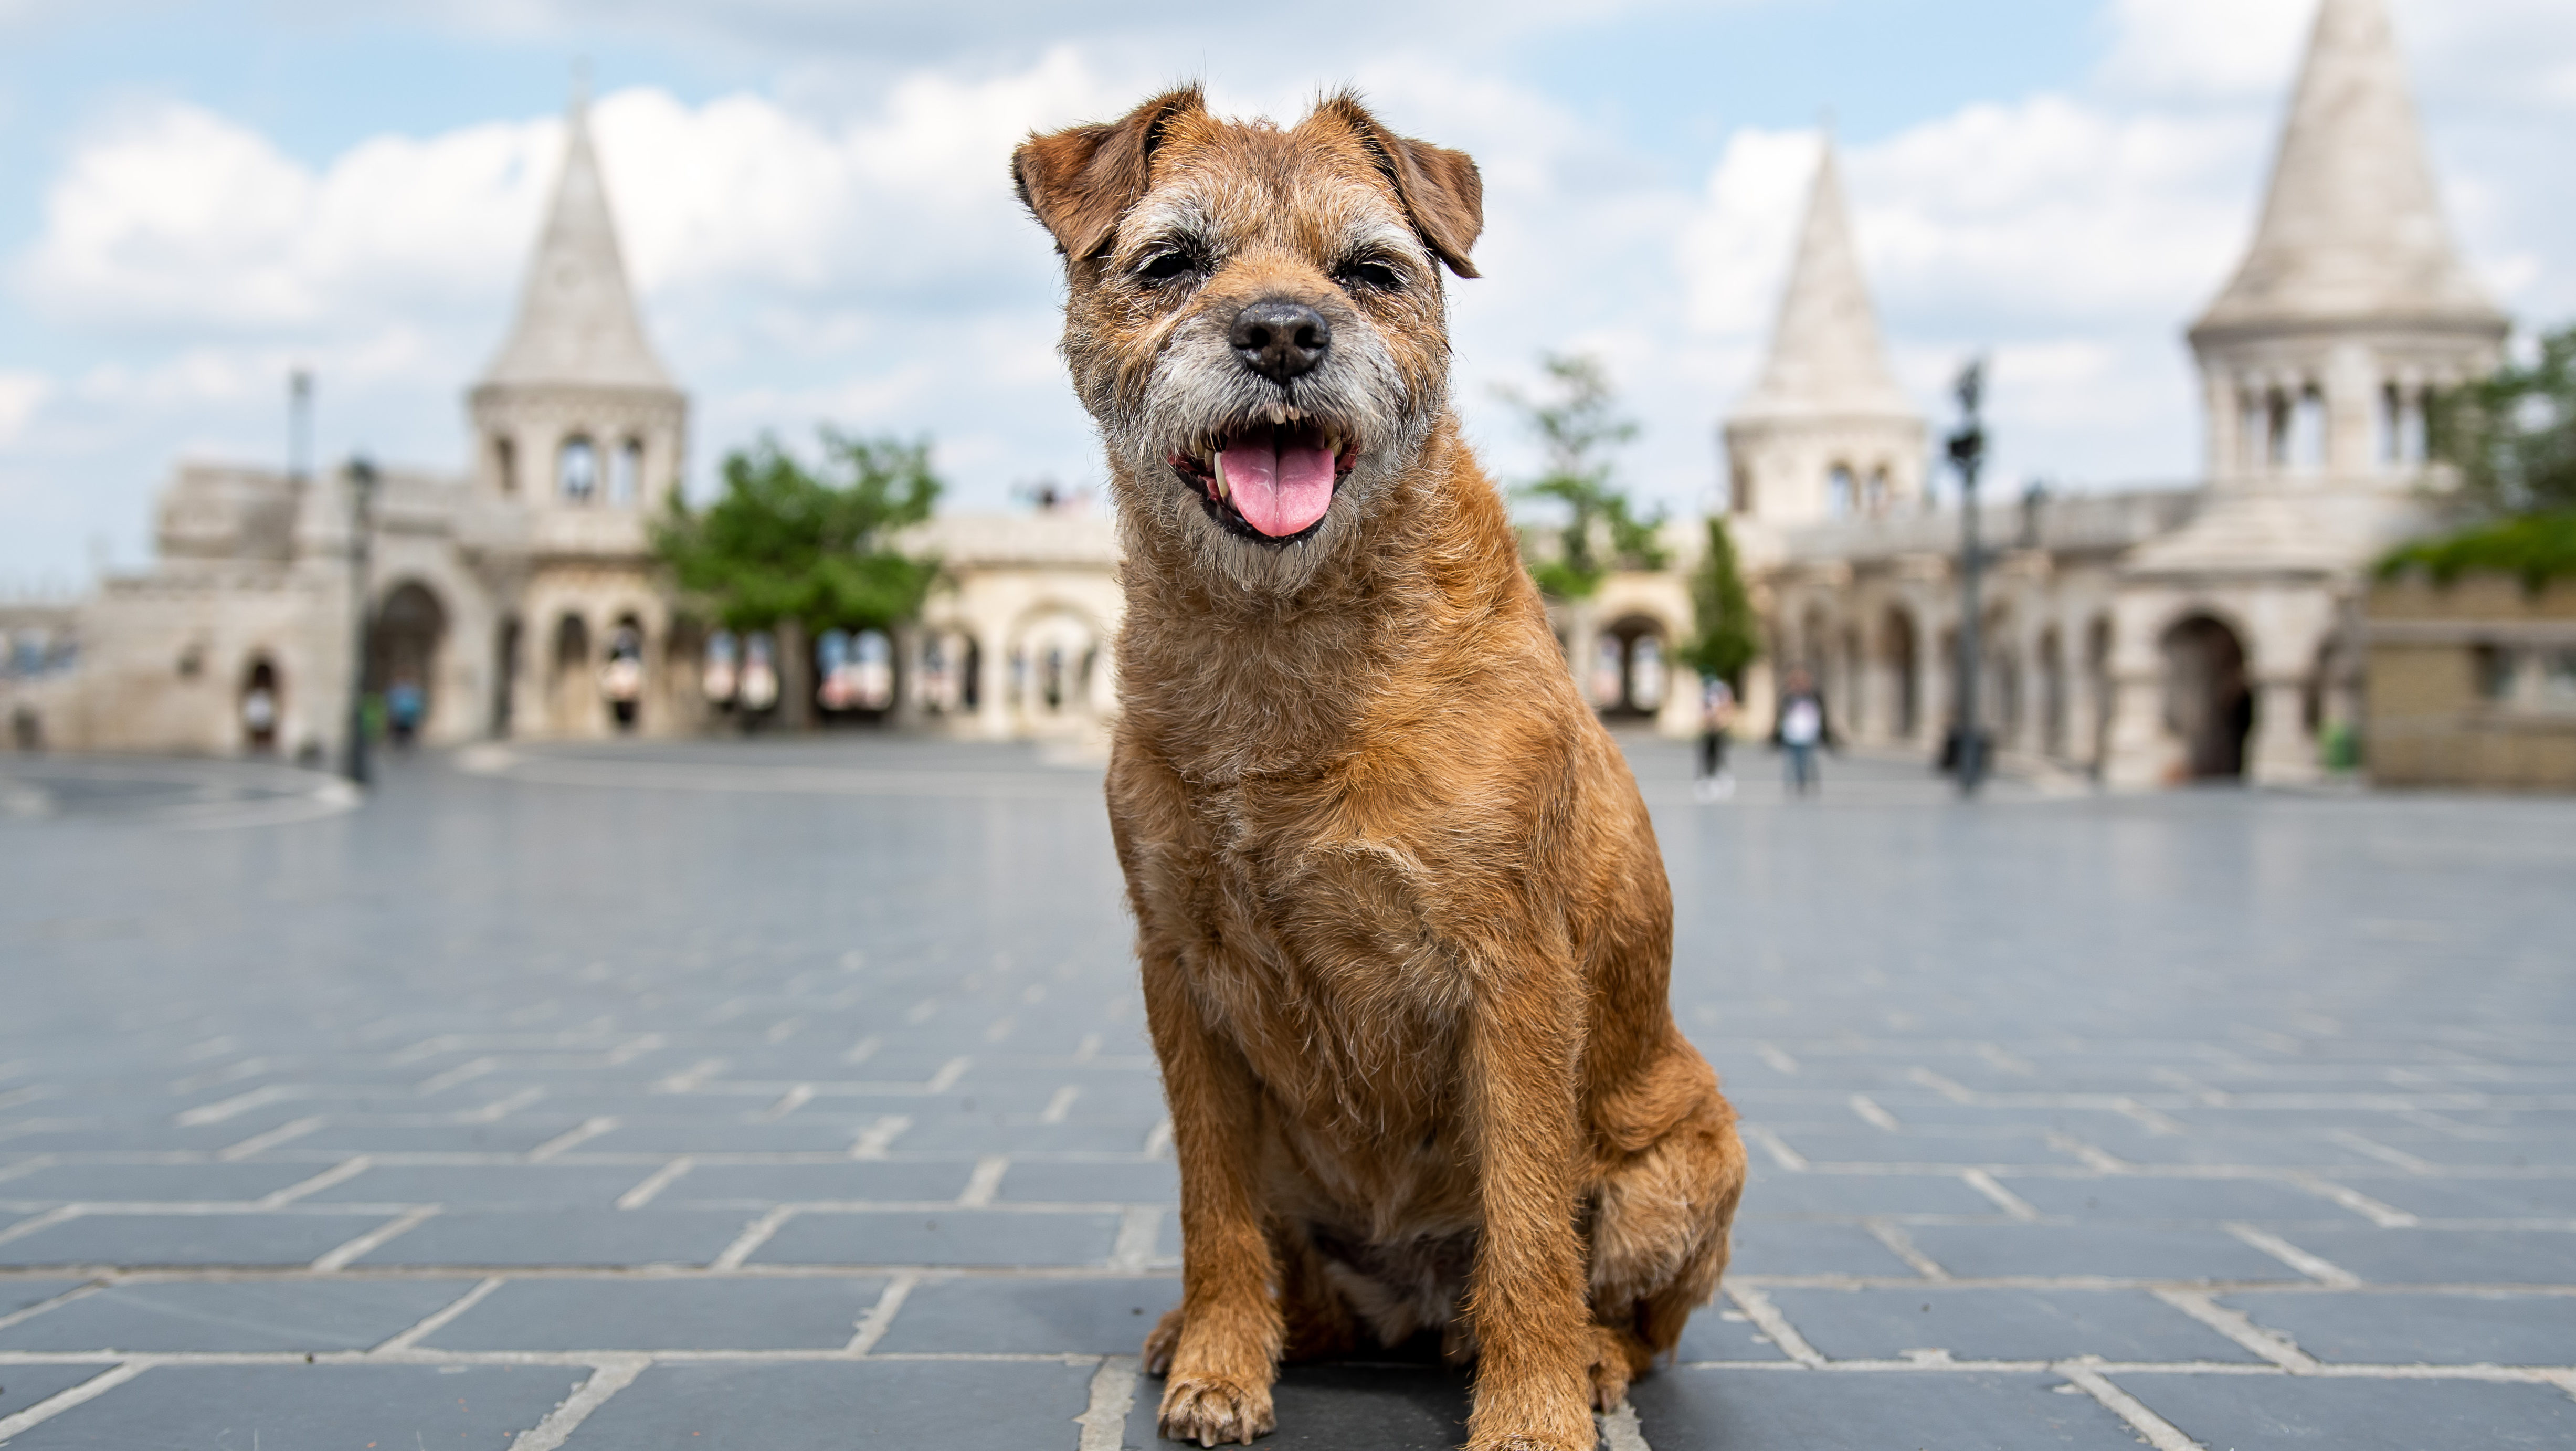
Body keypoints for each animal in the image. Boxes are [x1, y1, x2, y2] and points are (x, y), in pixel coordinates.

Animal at [1015, 91, 1741, 1451]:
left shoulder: (1513, 973)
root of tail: (1408, 1304)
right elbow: (1210, 1201)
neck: (1283, 635)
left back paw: (1587, 1357)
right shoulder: (1181, 972)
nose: (1284, 331)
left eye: (1370, 270)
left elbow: (1527, 1217)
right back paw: (1230, 1331)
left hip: (1691, 1160)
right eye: (1171, 261)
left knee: (1636, 1315)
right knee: (1294, 1268)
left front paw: (1530, 1412)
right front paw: (1221, 1361)